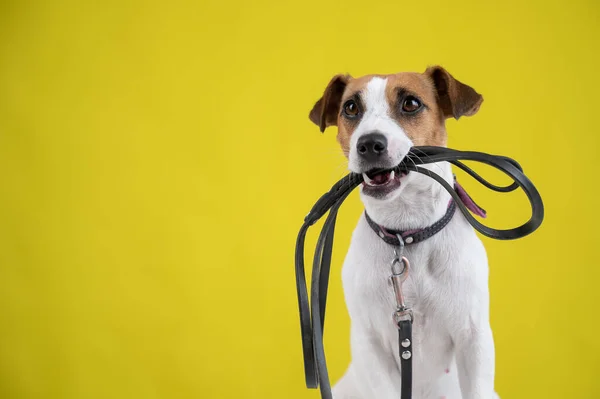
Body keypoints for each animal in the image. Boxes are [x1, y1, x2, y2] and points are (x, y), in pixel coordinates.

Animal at [310, 67, 502, 398]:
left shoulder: (473, 337)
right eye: (351, 108)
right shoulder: (370, 343)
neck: (406, 232)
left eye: (411, 103)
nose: (369, 143)